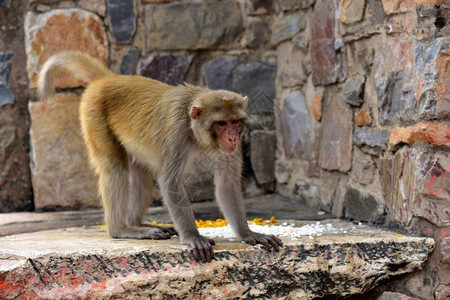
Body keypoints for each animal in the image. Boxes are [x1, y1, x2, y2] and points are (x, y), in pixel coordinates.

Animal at [37, 51, 282, 262]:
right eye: (221, 123)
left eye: (236, 122)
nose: (231, 138)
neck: (195, 131)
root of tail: (108, 80)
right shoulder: (176, 135)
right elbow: (170, 182)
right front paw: (193, 237)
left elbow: (227, 183)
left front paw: (247, 233)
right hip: (94, 115)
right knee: (114, 168)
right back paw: (122, 229)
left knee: (140, 177)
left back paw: (138, 224)